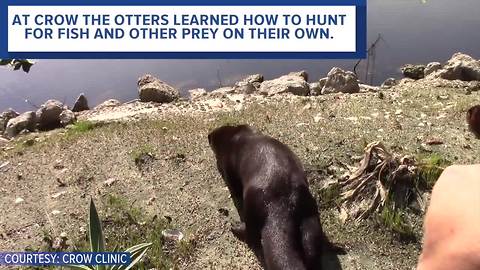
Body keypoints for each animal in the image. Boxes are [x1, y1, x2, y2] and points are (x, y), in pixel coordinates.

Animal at [208, 125, 336, 270]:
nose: (208, 136)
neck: (233, 136)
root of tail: (284, 203)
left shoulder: (227, 167)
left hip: (252, 203)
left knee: (252, 234)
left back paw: (235, 227)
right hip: (310, 214)